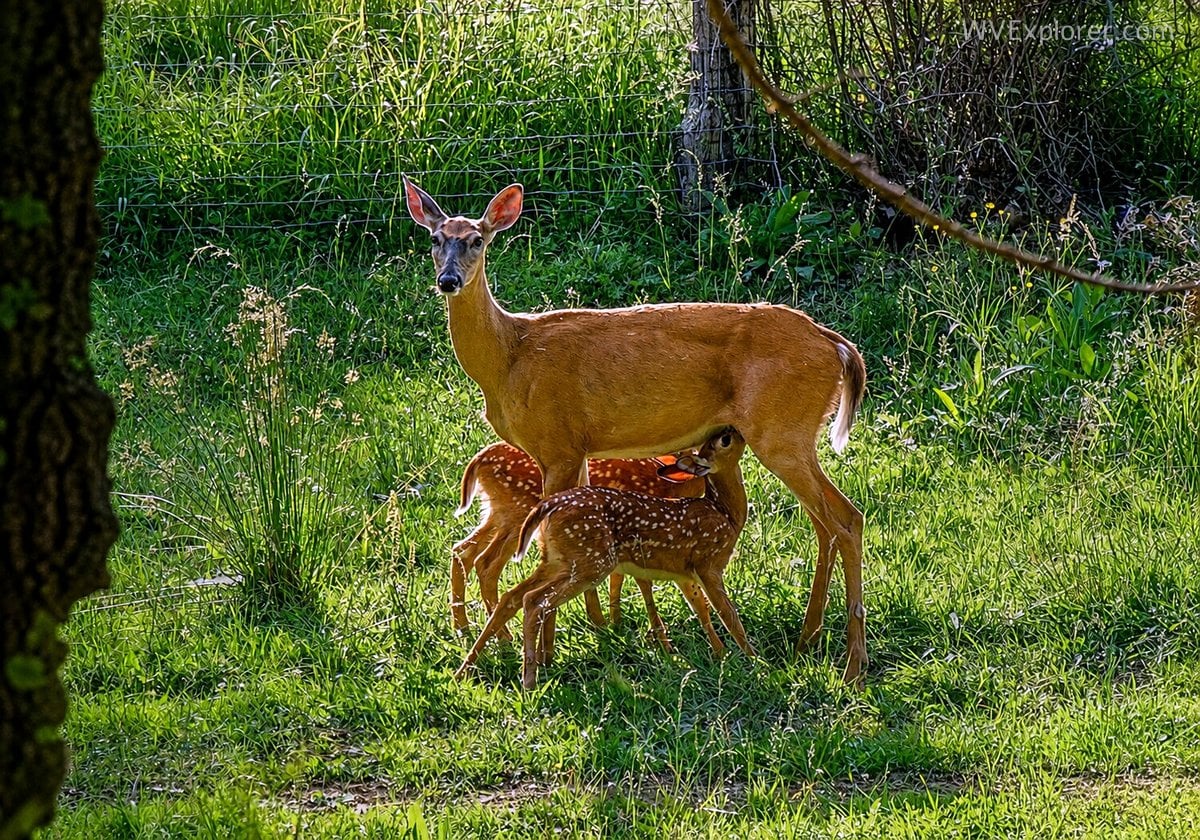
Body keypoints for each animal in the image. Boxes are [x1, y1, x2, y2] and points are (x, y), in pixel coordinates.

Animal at [455, 429, 752, 689]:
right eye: (724, 440)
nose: (734, 431)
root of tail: (480, 459)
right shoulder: (689, 561)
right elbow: (720, 610)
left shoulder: (670, 563)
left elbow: (695, 604)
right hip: (528, 524)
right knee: (494, 570)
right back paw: (518, 663)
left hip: (532, 540)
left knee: (476, 562)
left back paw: (475, 651)